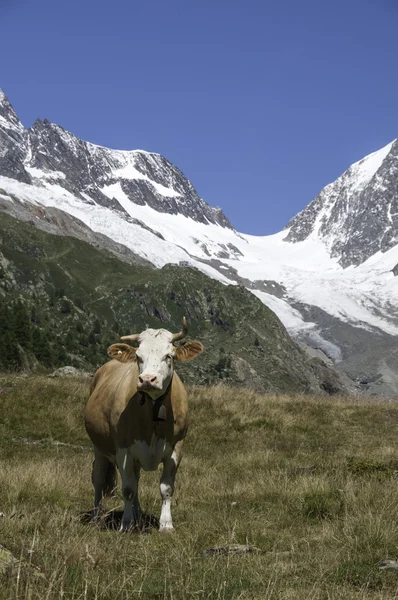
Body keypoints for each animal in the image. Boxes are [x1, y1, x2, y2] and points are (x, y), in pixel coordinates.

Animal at [83, 316, 202, 532]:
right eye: (138, 356)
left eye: (169, 356)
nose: (147, 380)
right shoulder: (124, 450)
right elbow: (128, 488)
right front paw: (126, 524)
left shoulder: (176, 449)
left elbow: (166, 488)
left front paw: (166, 524)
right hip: (99, 446)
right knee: (98, 479)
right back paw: (97, 516)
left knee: (135, 479)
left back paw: (137, 514)